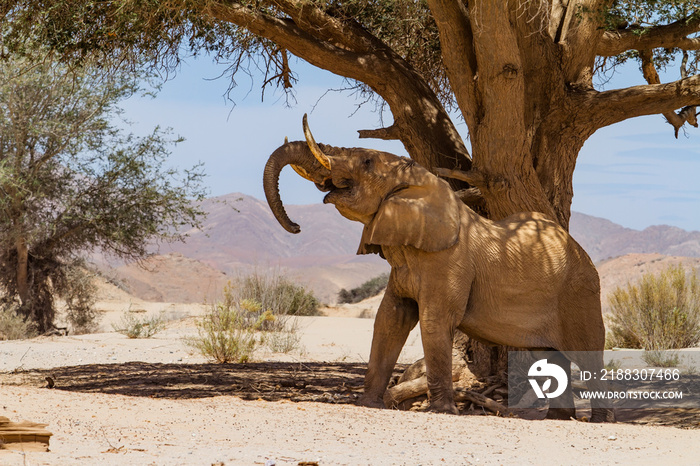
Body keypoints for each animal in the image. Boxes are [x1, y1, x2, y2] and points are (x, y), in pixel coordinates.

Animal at [262, 114, 612, 422]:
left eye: (366, 163)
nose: (296, 227)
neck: (424, 184)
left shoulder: (449, 261)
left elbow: (434, 320)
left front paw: (442, 411)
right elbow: (390, 318)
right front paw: (368, 404)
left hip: (579, 293)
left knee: (585, 353)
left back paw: (598, 422)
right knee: (549, 355)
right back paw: (559, 419)